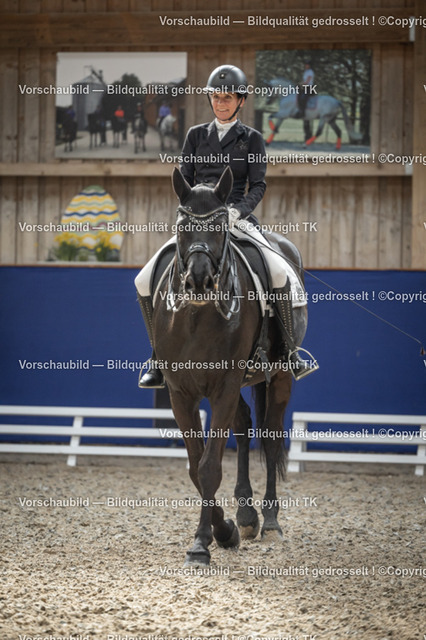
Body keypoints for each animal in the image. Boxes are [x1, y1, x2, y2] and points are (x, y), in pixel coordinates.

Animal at [150, 166, 308, 566]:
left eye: (221, 224)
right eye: (182, 225)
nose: (199, 280)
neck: (197, 315)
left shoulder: (223, 386)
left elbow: (209, 467)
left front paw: (203, 543)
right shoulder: (181, 393)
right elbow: (196, 466)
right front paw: (225, 530)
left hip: (278, 376)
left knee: (270, 436)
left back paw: (269, 521)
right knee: (243, 427)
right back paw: (247, 516)